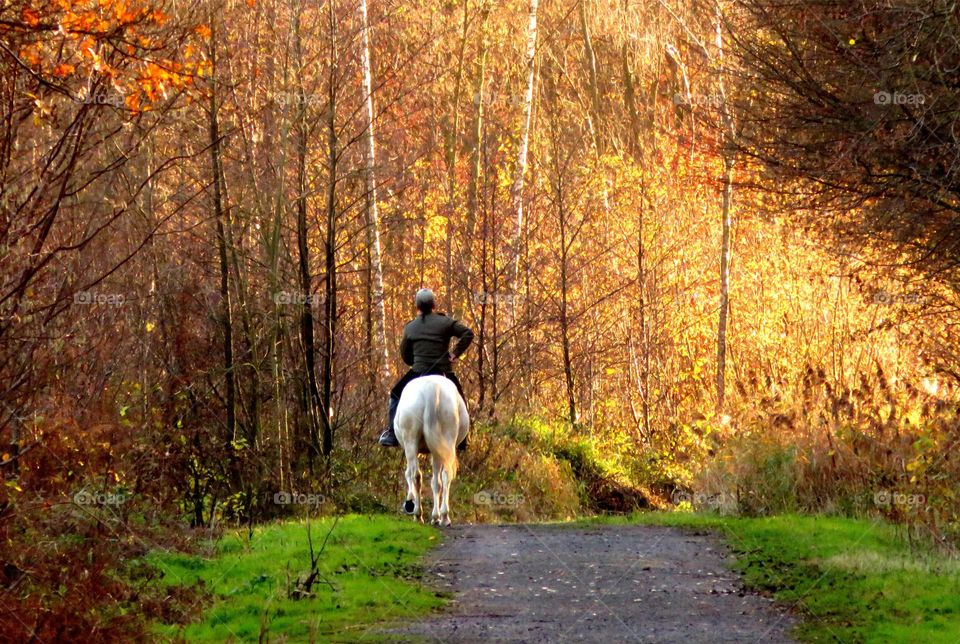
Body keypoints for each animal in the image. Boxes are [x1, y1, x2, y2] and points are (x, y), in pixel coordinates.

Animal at [394, 374, 468, 524]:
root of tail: (432, 387)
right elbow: (436, 482)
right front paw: (436, 516)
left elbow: (410, 475)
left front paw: (411, 503)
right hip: (445, 441)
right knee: (444, 476)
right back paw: (443, 517)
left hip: (411, 441)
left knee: (416, 475)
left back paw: (419, 514)